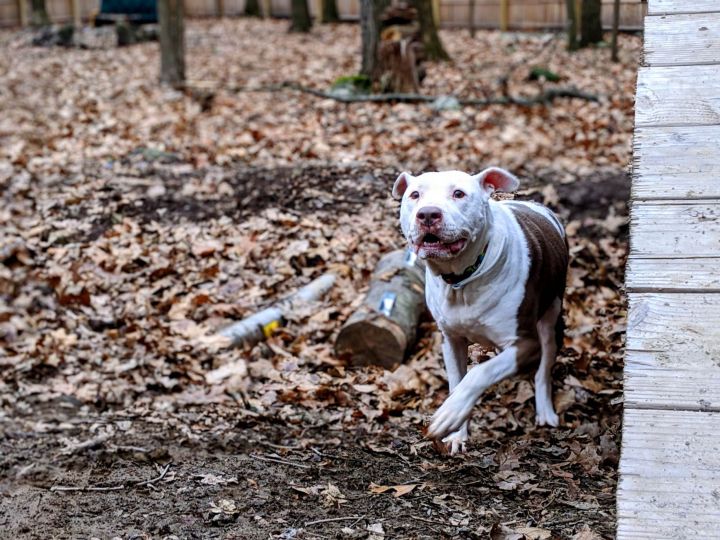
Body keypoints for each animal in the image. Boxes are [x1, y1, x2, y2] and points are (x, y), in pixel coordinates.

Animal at [394, 167, 568, 454]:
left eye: (459, 193)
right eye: (415, 195)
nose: (428, 214)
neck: (462, 279)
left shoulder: (526, 343)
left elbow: (479, 373)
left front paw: (450, 414)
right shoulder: (451, 340)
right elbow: (458, 381)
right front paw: (456, 431)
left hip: (552, 317)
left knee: (544, 366)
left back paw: (545, 411)